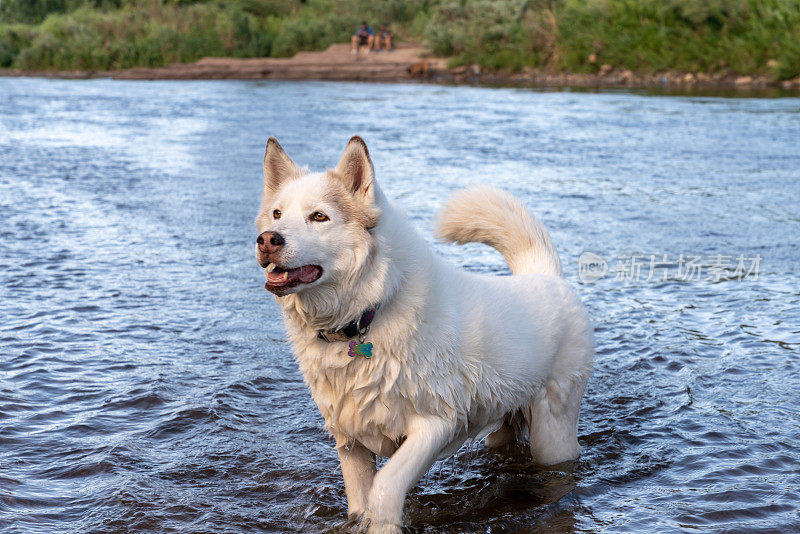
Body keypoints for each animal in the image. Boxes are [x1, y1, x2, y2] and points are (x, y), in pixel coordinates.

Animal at [255, 137, 592, 532]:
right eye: (277, 214)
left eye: (319, 217)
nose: (267, 239)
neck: (370, 310)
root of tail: (545, 274)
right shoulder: (351, 442)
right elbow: (359, 504)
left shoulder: (434, 426)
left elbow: (385, 490)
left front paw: (385, 523)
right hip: (503, 428)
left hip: (552, 435)